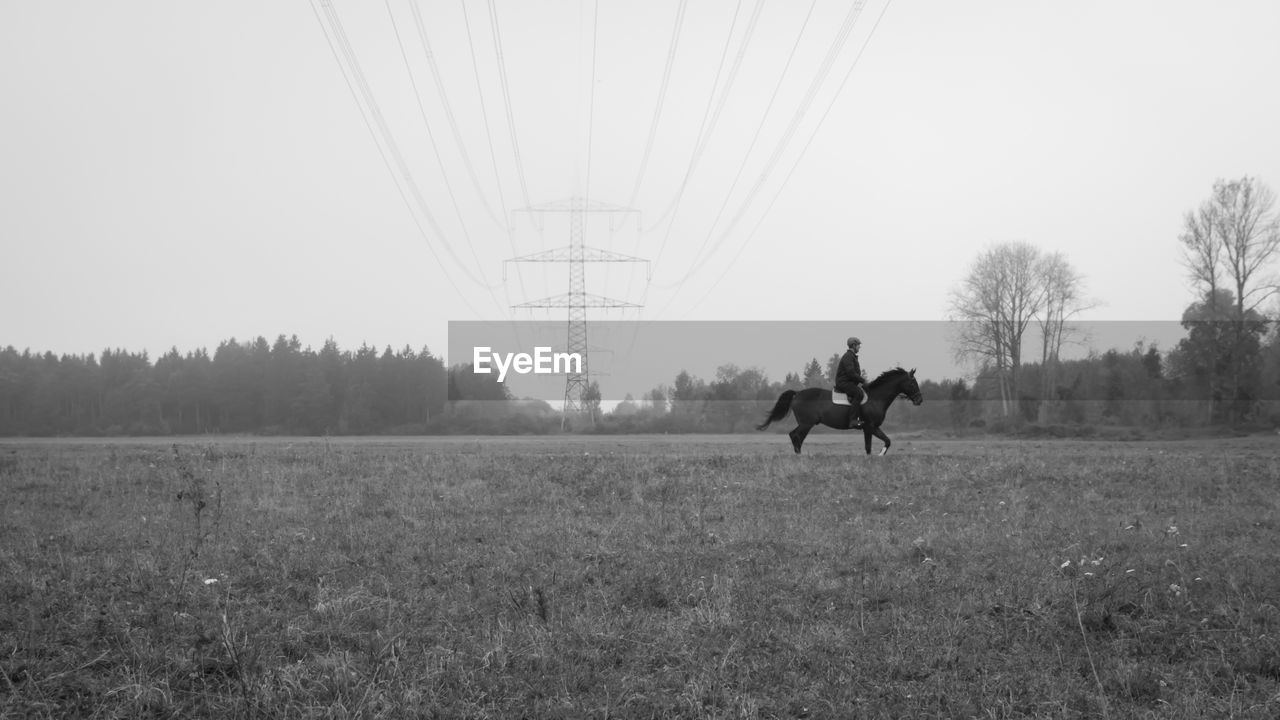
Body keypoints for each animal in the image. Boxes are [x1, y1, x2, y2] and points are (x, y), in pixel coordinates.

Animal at [752, 363, 926, 453]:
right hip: (806, 423)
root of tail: (797, 393)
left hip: (807, 424)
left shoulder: (874, 427)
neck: (876, 397)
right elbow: (868, 447)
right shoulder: (868, 427)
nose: (919, 400)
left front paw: (880, 456)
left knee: (797, 437)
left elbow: (887, 441)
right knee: (795, 435)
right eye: (912, 383)